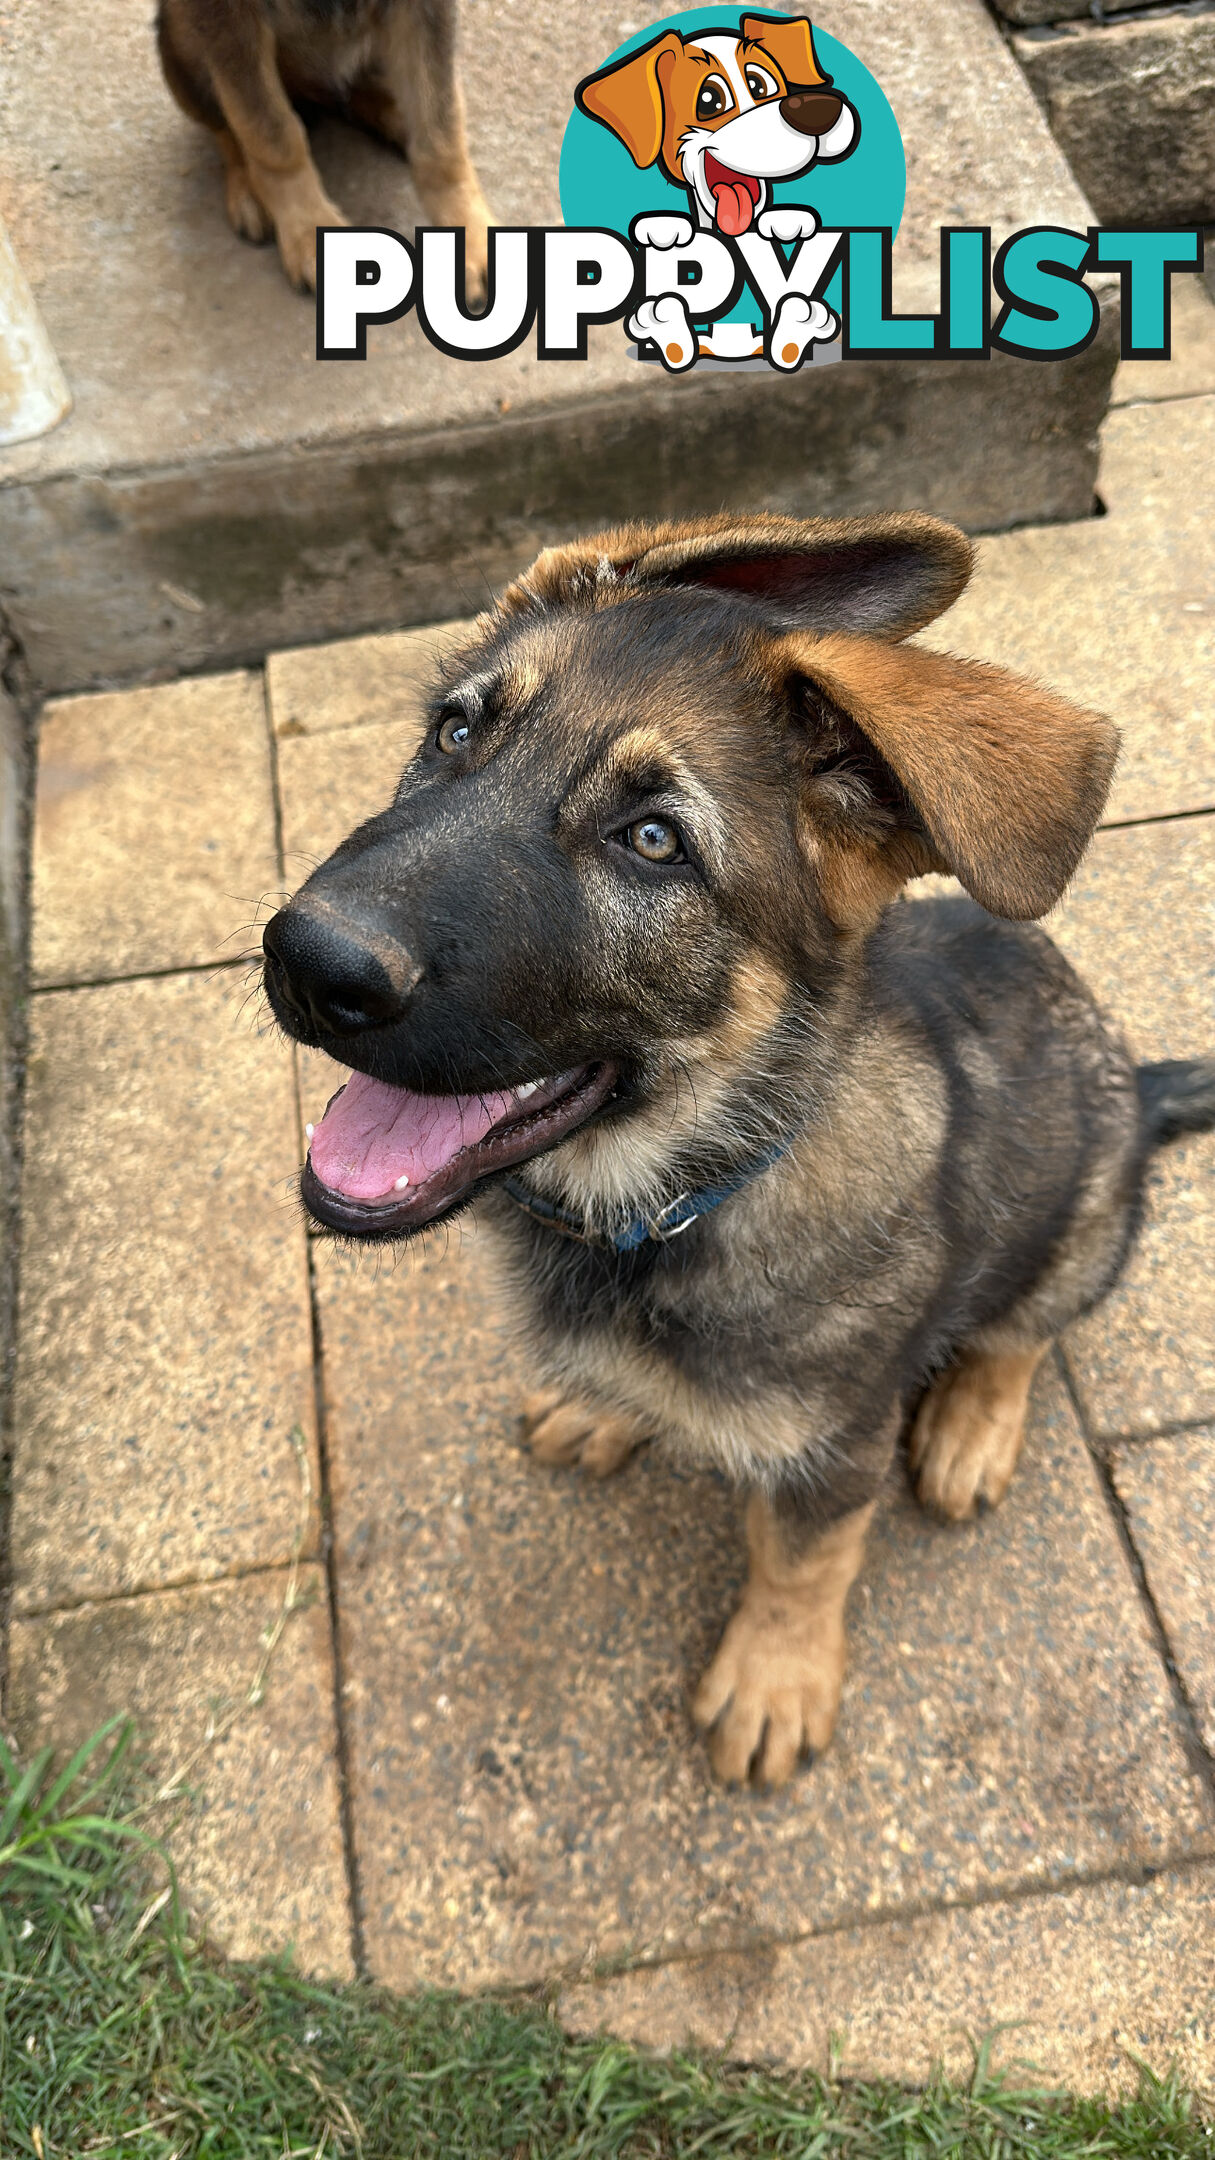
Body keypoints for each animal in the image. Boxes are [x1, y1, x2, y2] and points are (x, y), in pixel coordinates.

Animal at [155, 0, 486, 293]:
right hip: (180, 28)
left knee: (358, 92)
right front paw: (309, 231)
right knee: (229, 124)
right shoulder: (224, 13)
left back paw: (398, 119)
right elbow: (271, 136)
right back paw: (247, 188)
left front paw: (468, 237)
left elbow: (439, 130)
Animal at [260, 518, 1202, 1788]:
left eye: (654, 842)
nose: (310, 962)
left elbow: (802, 1564)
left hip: (1085, 1217)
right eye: (453, 734)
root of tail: (1138, 1090)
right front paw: (606, 1404)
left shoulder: (834, 1450)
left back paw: (972, 1422)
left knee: (1024, 1333)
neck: (662, 1203)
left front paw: (774, 1673)